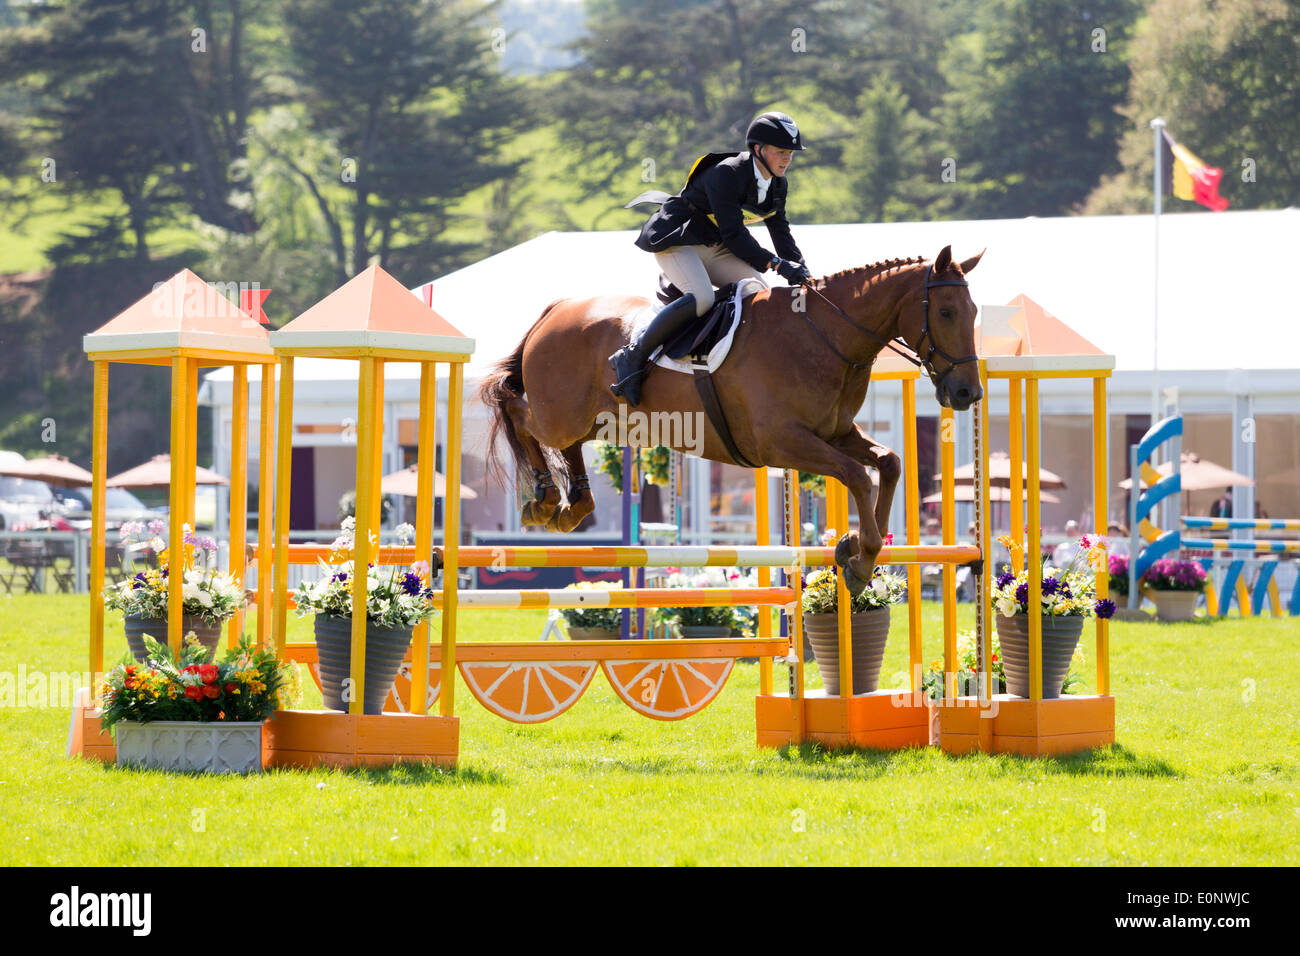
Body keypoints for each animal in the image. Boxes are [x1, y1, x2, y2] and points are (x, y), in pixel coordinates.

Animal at [483, 244, 977, 590]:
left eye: (973, 313)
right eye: (946, 312)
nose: (967, 392)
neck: (824, 335)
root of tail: (558, 308)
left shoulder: (834, 434)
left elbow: (889, 463)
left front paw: (853, 547)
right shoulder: (783, 442)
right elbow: (857, 475)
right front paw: (860, 558)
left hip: (593, 419)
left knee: (567, 444)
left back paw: (572, 508)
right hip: (559, 414)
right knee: (518, 412)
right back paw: (544, 498)